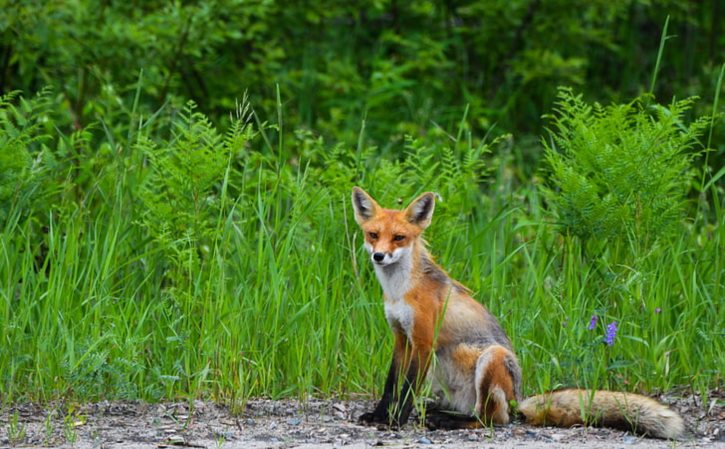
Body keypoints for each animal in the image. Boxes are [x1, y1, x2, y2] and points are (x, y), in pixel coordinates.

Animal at [350, 185, 684, 438]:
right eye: (373, 235)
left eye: (399, 238)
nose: (379, 256)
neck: (399, 291)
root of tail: (519, 400)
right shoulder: (400, 337)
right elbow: (390, 384)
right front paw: (379, 416)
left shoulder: (422, 341)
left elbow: (406, 390)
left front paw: (395, 422)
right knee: (481, 412)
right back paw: (440, 412)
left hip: (491, 358)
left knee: (493, 419)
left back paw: (448, 421)